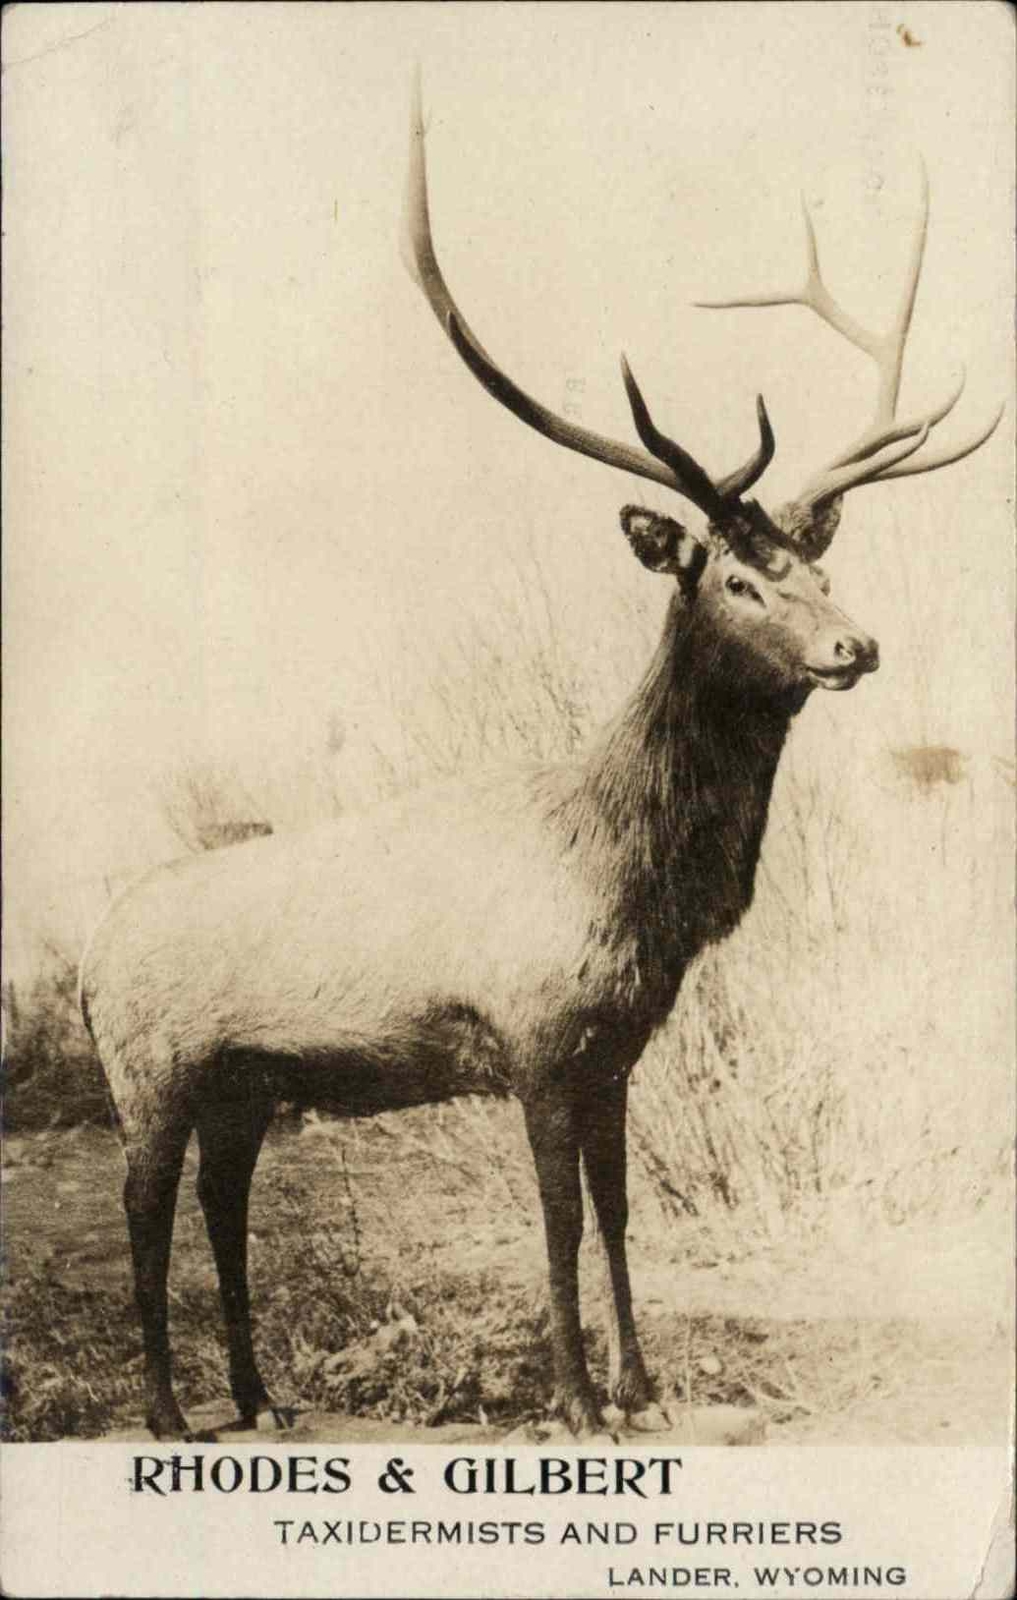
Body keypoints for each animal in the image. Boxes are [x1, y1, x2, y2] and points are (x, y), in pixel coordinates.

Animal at [80, 88, 1002, 1442]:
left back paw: (259, 1398)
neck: (635, 885)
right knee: (143, 1211)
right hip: (149, 1067)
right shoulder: (533, 1035)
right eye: (738, 578)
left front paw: (644, 1389)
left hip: (246, 1086)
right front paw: (572, 1399)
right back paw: (167, 1412)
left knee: (221, 1203)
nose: (856, 644)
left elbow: (618, 1213)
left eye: (820, 565)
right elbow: (558, 1220)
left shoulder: (614, 1047)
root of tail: (90, 955)